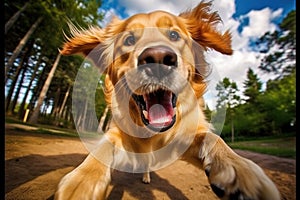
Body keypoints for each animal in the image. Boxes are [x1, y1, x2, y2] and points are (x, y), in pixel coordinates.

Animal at [55, 1, 280, 200]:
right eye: (129, 40)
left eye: (174, 35)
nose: (157, 58)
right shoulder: (122, 135)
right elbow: (103, 146)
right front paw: (82, 181)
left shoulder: (187, 138)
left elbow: (214, 139)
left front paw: (238, 168)